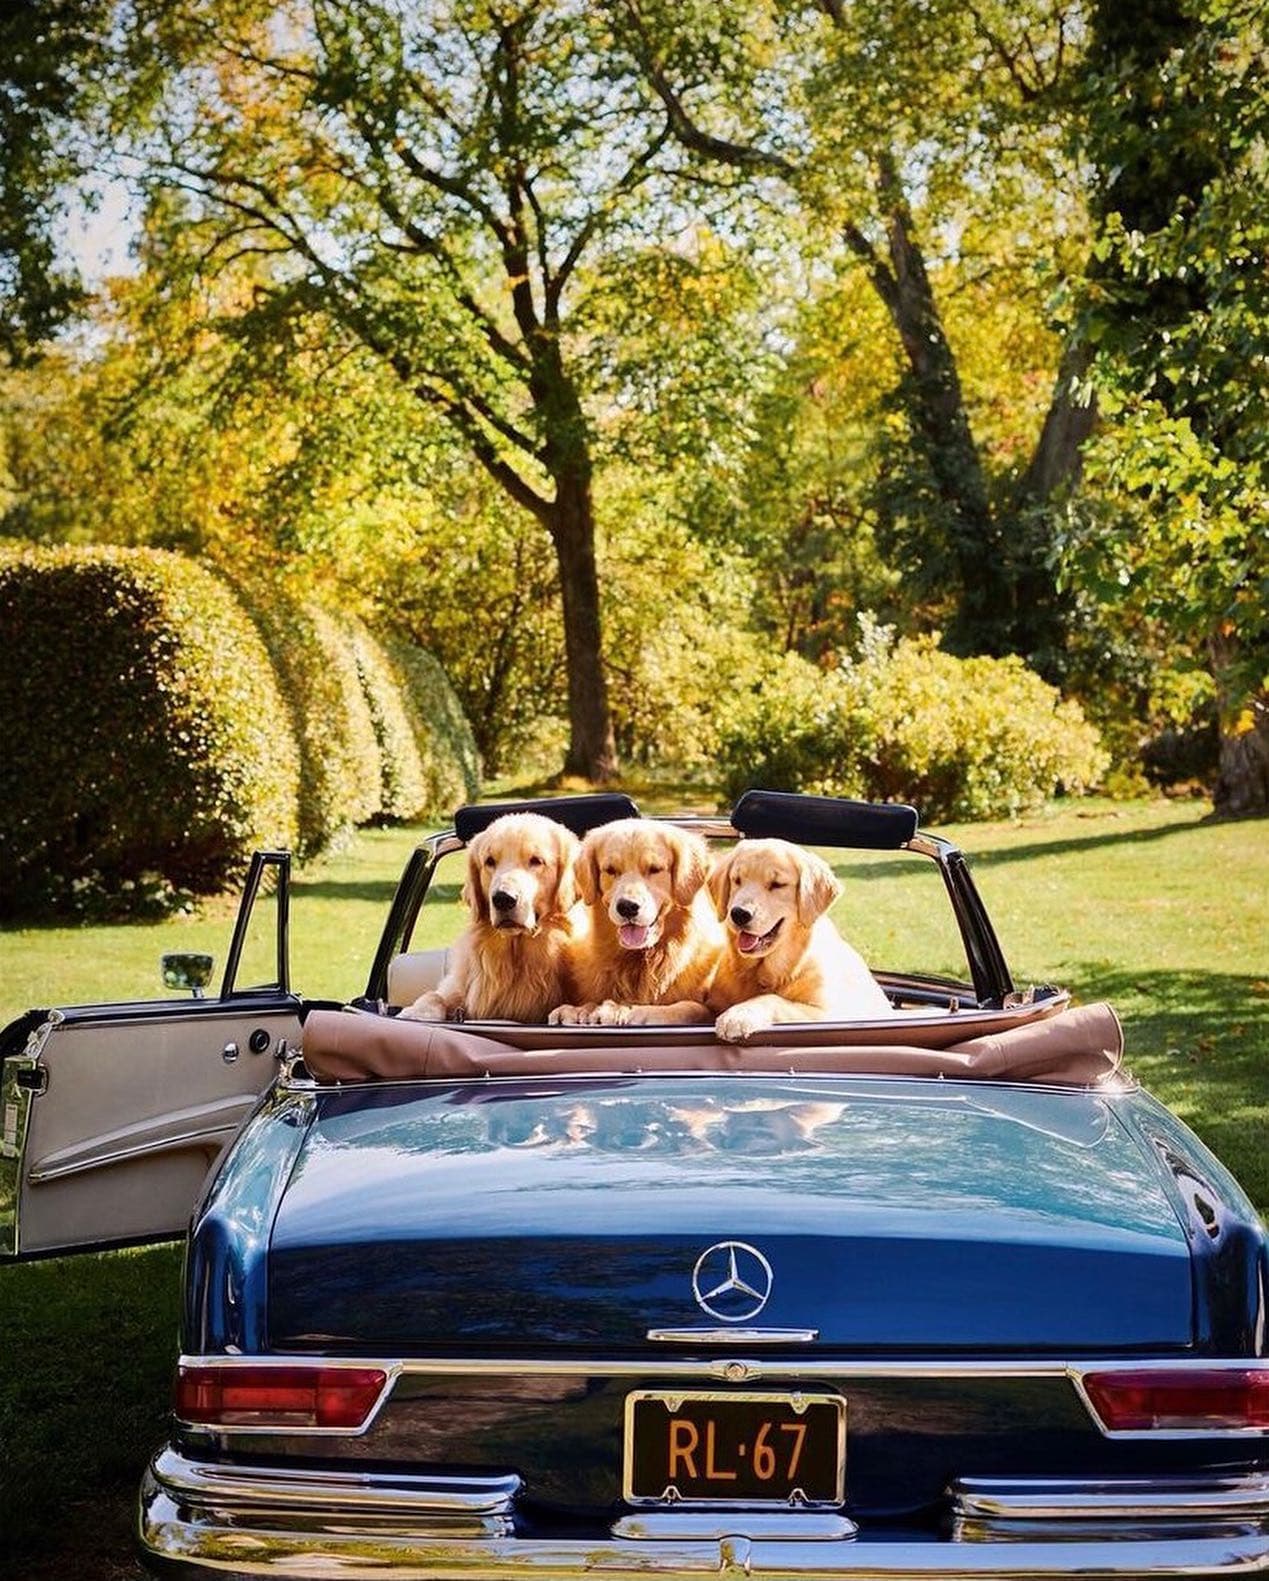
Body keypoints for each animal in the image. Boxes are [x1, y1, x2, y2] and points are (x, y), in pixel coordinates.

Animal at [399, 815, 587, 1024]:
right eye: (489, 861)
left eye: (536, 861)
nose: (503, 899)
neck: (516, 954)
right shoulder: (457, 985)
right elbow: (434, 996)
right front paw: (417, 1011)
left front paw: (571, 1012)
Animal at [549, 815, 723, 1024]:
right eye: (610, 870)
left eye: (655, 869)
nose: (627, 907)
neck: (642, 959)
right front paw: (580, 1010)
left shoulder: (706, 1007)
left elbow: (685, 1007)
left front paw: (625, 1010)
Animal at [704, 834, 891, 1043]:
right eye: (737, 880)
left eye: (777, 884)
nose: (739, 914)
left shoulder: (825, 1013)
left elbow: (772, 999)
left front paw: (737, 1016)